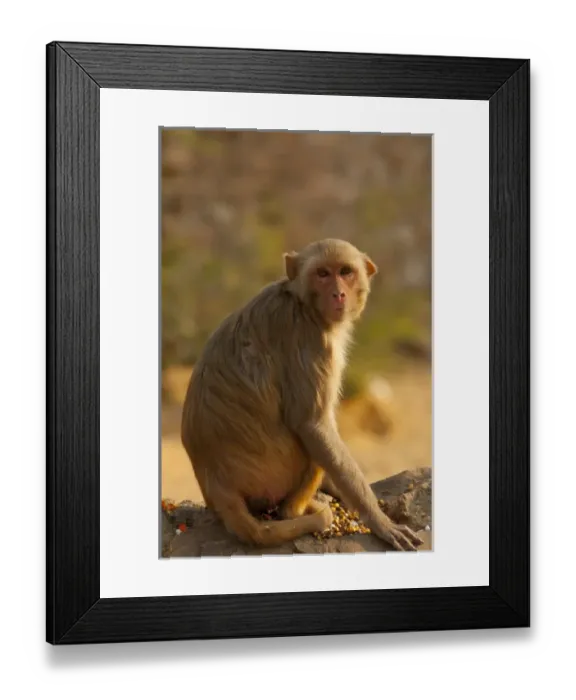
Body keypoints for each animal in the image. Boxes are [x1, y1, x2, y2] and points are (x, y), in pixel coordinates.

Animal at [181, 238, 424, 552]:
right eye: (322, 273)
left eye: (346, 272)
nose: (338, 293)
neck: (302, 303)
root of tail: (218, 486)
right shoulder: (311, 340)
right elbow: (311, 424)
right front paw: (379, 520)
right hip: (275, 475)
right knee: (311, 442)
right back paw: (297, 510)